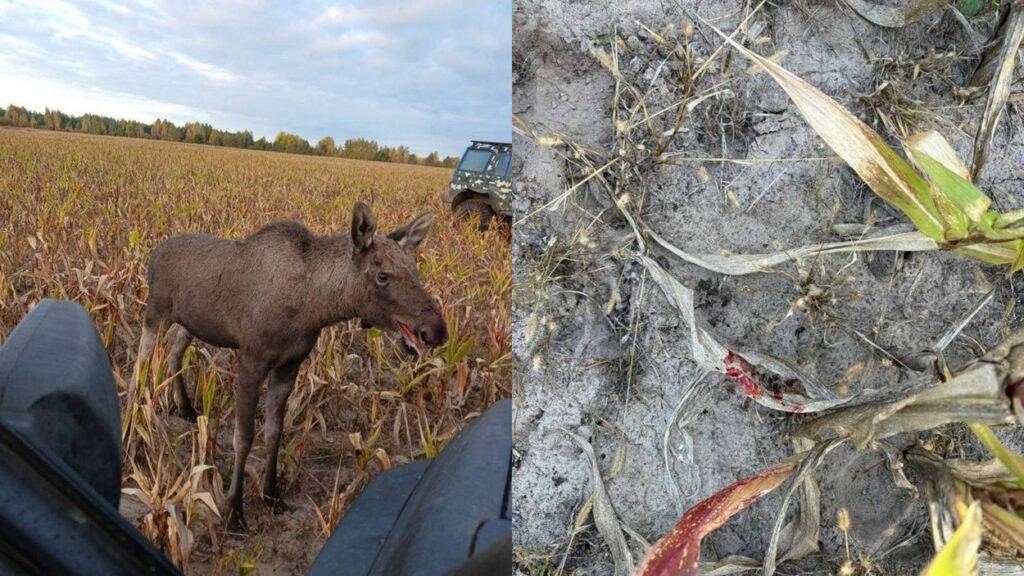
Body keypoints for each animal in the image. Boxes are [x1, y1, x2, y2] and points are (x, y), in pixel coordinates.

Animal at [129, 202, 447, 529]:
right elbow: (243, 437)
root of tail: (154, 253)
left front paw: (271, 494)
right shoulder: (252, 361)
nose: (436, 329)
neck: (313, 307)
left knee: (173, 354)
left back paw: (185, 407)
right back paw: (133, 424)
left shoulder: (289, 366)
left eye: (415, 270)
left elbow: (274, 432)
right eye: (383, 275)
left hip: (191, 323)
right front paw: (234, 510)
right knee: (140, 366)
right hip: (155, 313)